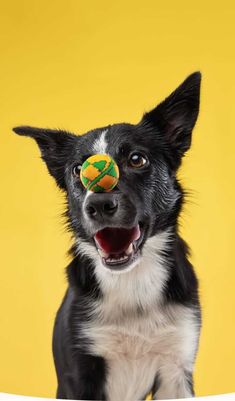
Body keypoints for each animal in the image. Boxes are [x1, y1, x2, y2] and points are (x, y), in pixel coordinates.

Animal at [13, 72, 202, 400]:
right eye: (77, 170)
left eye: (137, 159)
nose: (99, 205)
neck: (132, 281)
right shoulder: (80, 373)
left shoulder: (176, 371)